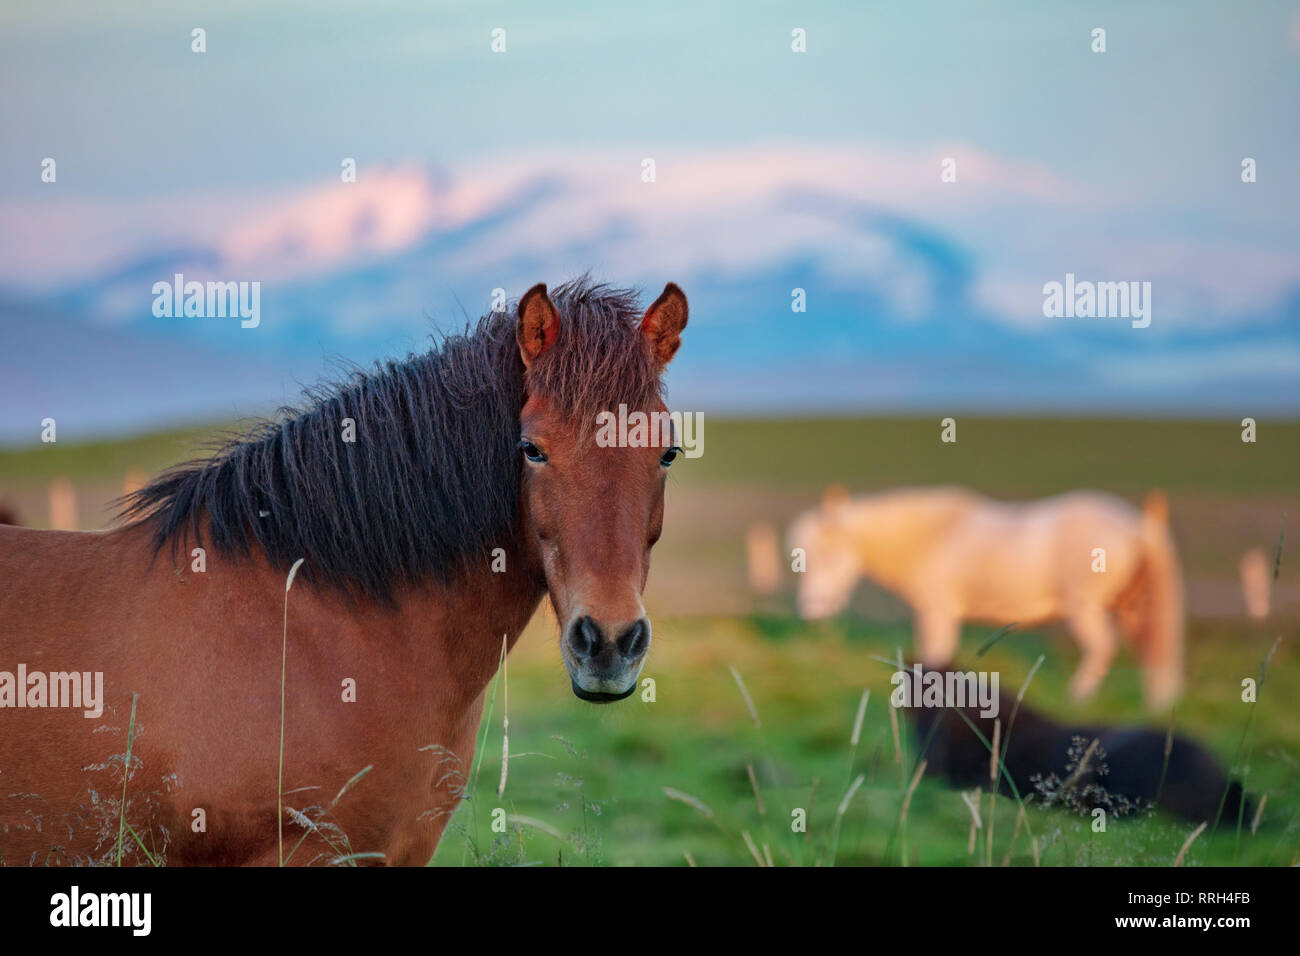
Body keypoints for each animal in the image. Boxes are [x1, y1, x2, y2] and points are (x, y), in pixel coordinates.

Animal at [785, 489, 1185, 707]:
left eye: (829, 555)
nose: (812, 609)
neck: (932, 536)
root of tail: (1140, 525)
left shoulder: (938, 611)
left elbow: (936, 655)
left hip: (1084, 606)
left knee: (1103, 647)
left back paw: (1078, 698)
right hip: (1133, 604)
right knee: (1148, 648)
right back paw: (1156, 703)